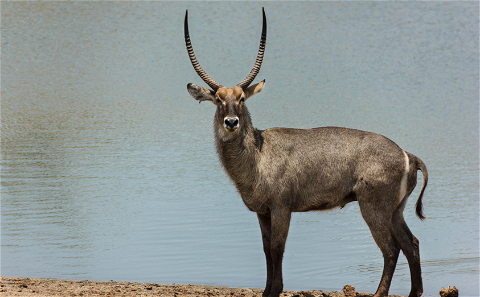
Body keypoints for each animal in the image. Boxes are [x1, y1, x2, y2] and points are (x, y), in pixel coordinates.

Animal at [184, 8, 428, 296]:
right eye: (218, 100)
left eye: (241, 99)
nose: (231, 122)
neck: (258, 155)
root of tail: (407, 154)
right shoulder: (262, 212)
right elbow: (266, 250)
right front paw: (267, 290)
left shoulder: (281, 208)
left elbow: (277, 249)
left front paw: (275, 290)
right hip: (396, 210)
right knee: (411, 243)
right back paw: (414, 292)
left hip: (374, 207)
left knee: (391, 249)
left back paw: (380, 293)